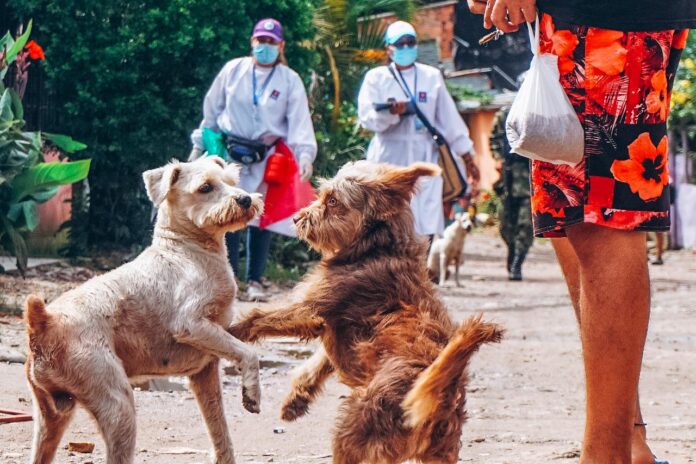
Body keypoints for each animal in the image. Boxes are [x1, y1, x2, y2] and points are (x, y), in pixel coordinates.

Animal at [23, 157, 264, 464]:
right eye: (205, 187)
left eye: (232, 181)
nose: (245, 199)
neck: (187, 249)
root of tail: (43, 322)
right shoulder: (191, 324)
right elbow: (248, 352)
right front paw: (252, 394)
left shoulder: (205, 371)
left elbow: (220, 430)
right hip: (117, 403)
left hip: (50, 417)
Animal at [231, 161, 502, 462]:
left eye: (333, 201)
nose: (297, 218)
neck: (379, 246)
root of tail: (443, 392)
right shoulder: (334, 331)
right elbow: (318, 363)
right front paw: (296, 400)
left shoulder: (309, 310)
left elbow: (257, 317)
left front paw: (230, 330)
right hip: (438, 452)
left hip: (354, 430)